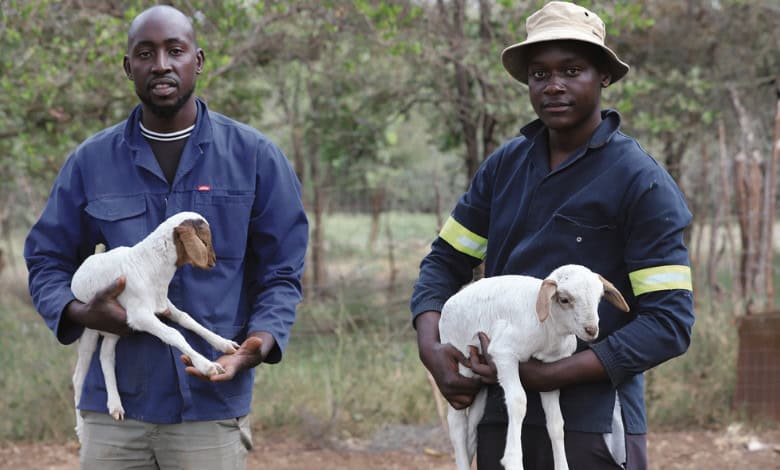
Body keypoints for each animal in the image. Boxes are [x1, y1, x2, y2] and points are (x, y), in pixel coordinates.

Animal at [70, 211, 240, 440]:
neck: (149, 264)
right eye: (205, 240)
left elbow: (187, 319)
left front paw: (223, 343)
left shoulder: (163, 306)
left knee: (106, 356)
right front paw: (206, 365)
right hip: (91, 323)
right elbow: (174, 334)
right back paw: (81, 428)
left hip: (113, 329)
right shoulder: (139, 316)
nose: (213, 262)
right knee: (79, 376)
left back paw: (115, 404)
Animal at [438, 264, 630, 470]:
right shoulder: (503, 352)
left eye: (599, 298)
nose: (592, 330)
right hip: (461, 359)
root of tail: (452, 300)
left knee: (473, 422)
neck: (550, 328)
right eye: (564, 299)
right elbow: (518, 401)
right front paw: (513, 460)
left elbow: (556, 423)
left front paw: (562, 465)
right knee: (457, 423)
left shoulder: (549, 371)